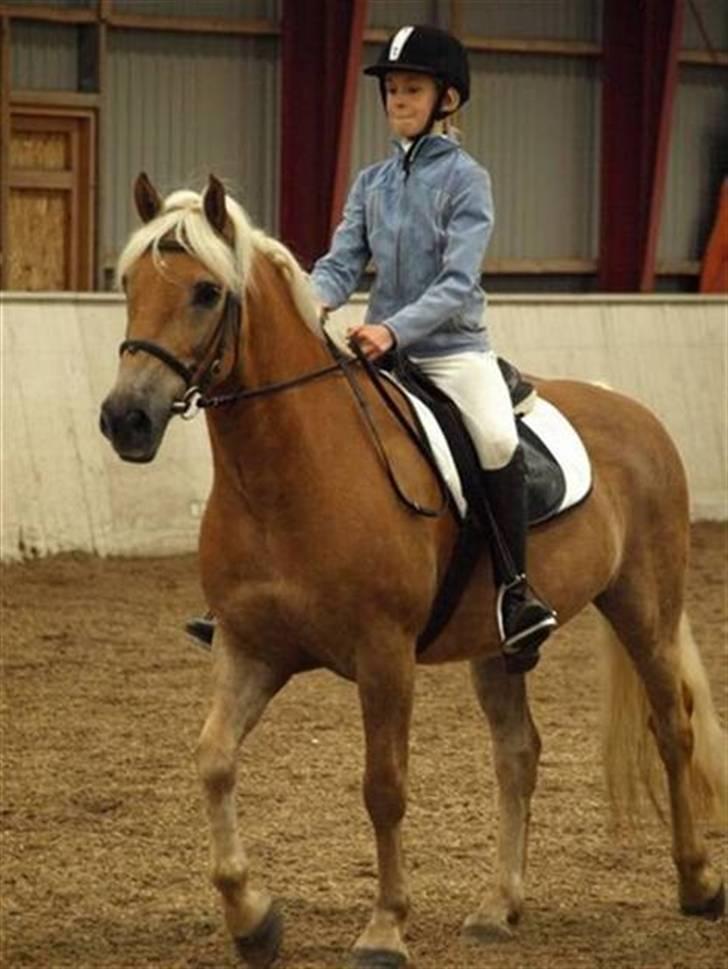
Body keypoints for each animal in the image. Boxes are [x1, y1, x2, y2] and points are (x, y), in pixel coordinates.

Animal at [99, 174, 724, 968]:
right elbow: (213, 759)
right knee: (519, 753)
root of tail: (635, 411)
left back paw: (697, 881)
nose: (126, 419)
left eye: (207, 292)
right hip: (499, 643)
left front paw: (385, 927)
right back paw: (498, 905)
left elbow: (384, 785)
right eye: (128, 283)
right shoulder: (250, 649)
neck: (286, 473)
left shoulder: (384, 655)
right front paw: (252, 918)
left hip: (643, 605)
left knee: (671, 726)